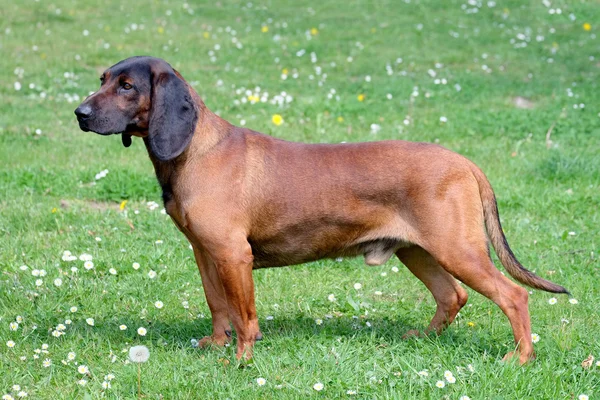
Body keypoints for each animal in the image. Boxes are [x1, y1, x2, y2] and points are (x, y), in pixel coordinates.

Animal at [75, 56, 568, 366]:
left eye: (126, 86)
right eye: (102, 79)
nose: (79, 113)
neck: (197, 148)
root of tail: (466, 163)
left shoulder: (234, 255)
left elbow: (244, 317)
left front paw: (240, 360)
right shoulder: (205, 253)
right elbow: (218, 306)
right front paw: (216, 346)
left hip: (457, 251)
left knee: (514, 296)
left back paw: (520, 358)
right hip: (420, 251)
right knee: (453, 297)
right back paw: (422, 340)